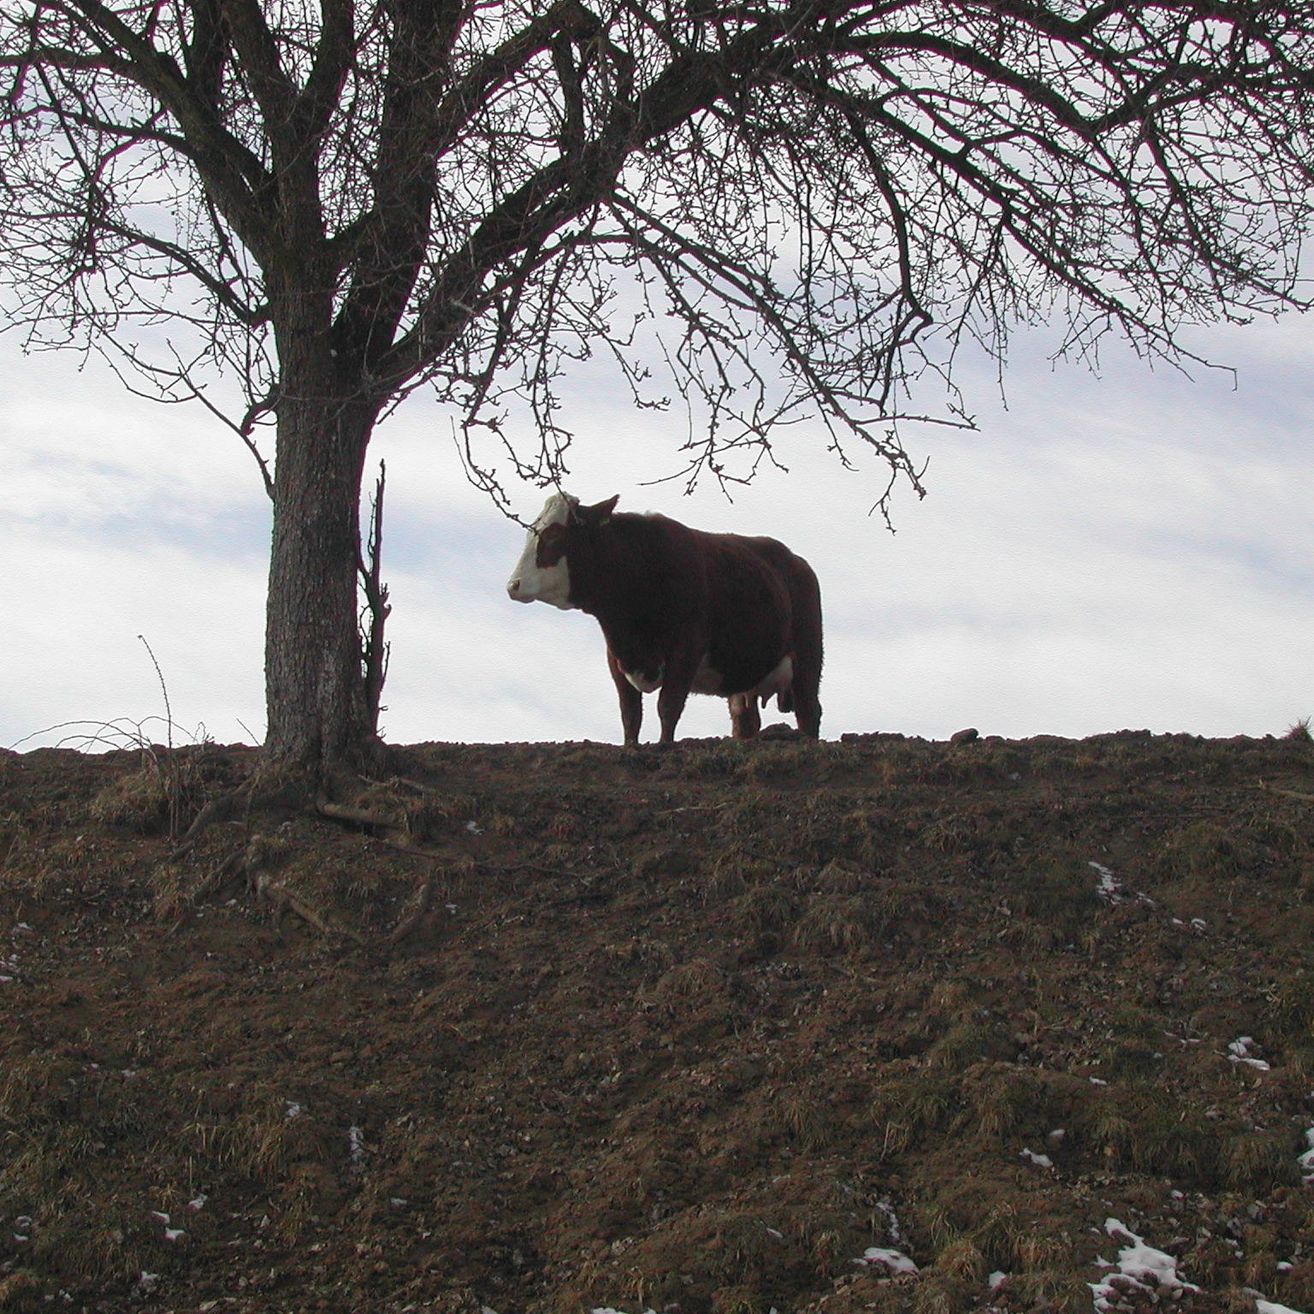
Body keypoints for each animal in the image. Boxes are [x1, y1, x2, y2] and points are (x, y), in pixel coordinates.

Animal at [507, 492, 823, 745]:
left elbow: (668, 706)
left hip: (807, 657)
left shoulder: (687, 647)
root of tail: (797, 562)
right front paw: (631, 747)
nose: (513, 585)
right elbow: (630, 713)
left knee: (809, 711)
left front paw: (663, 746)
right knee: (745, 719)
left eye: (554, 535)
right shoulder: (616, 656)